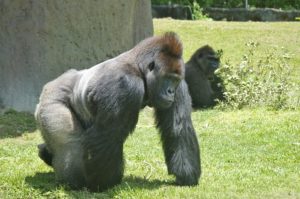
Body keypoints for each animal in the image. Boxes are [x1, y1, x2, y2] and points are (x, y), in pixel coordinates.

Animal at [35, 32, 200, 191]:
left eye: (175, 80)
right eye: (167, 78)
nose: (171, 91)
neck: (139, 68)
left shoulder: (180, 84)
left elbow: (178, 128)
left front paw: (186, 175)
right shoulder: (126, 85)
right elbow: (108, 136)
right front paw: (104, 183)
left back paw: (46, 153)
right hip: (51, 100)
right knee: (71, 145)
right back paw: (72, 181)